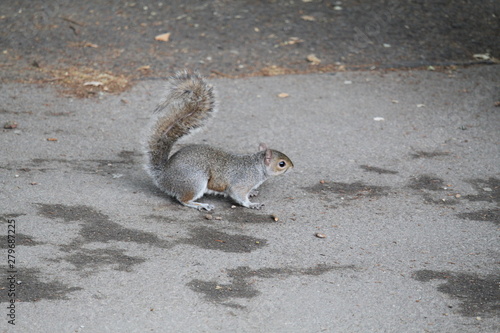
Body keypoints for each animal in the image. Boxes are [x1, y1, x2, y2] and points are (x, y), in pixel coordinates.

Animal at [145, 70, 292, 210]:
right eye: (282, 164)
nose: (292, 166)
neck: (257, 167)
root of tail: (163, 176)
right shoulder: (241, 183)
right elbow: (238, 195)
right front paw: (252, 204)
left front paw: (252, 192)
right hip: (195, 181)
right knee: (183, 200)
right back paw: (201, 205)